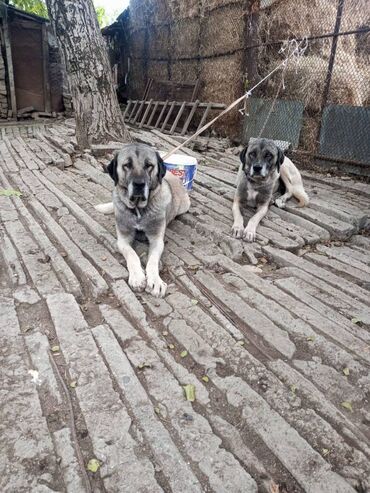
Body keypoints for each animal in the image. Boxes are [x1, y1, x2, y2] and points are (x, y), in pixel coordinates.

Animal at [95, 142, 189, 296]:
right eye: (127, 165)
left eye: (149, 165)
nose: (139, 185)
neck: (138, 209)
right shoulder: (123, 240)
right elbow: (132, 254)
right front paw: (137, 277)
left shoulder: (157, 240)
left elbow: (153, 260)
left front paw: (156, 281)